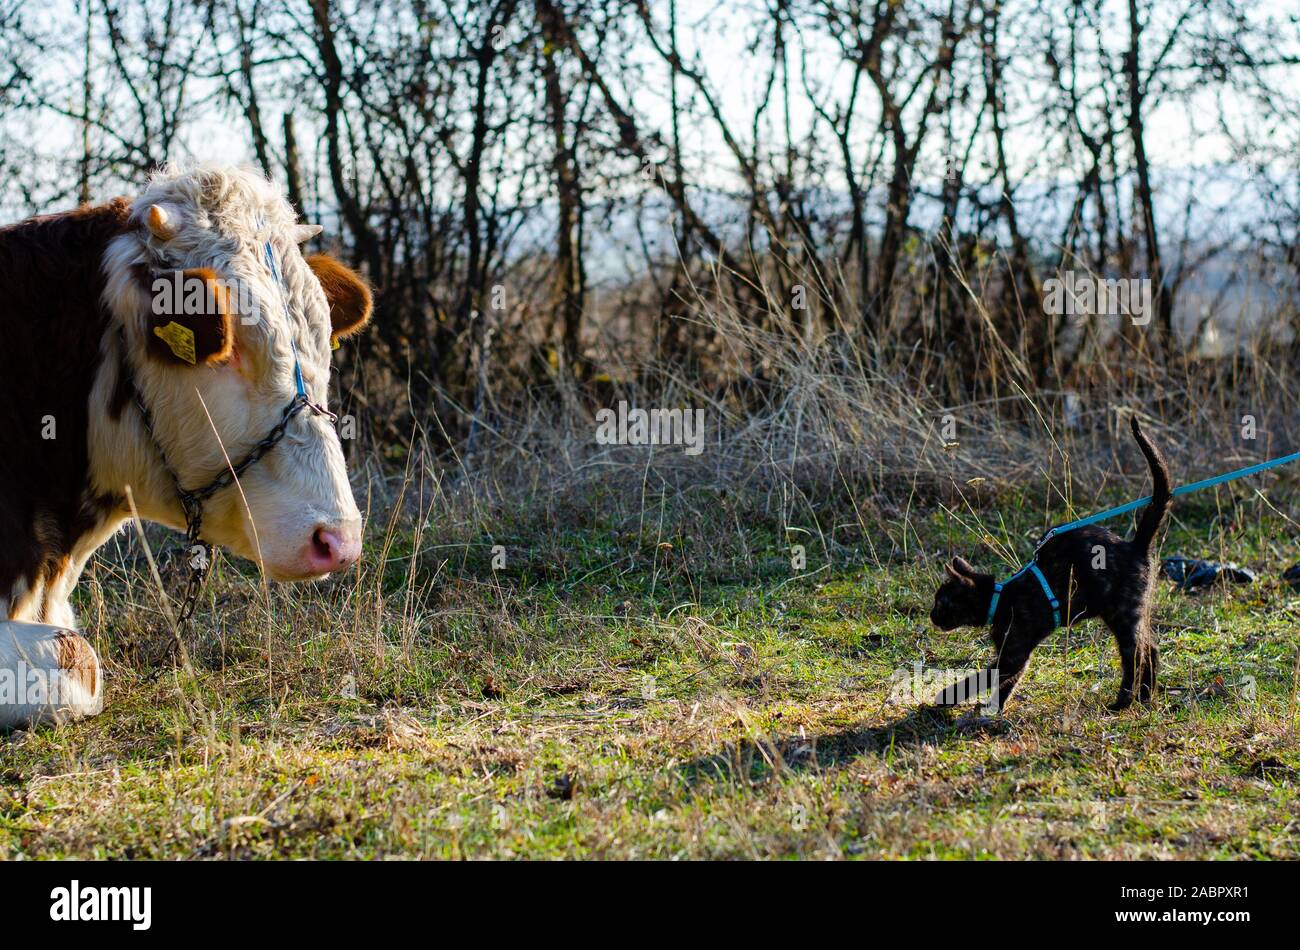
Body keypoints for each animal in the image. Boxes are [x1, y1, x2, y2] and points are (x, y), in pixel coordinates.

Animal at [930, 418, 1175, 712]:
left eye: (941, 602)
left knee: (1136, 655)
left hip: (1123, 613)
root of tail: (1135, 545)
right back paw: (1145, 697)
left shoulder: (1013, 652)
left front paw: (947, 696)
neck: (1001, 600)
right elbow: (1007, 683)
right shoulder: (1016, 657)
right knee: (1151, 649)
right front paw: (995, 708)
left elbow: (982, 677)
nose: (931, 616)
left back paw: (1123, 701)